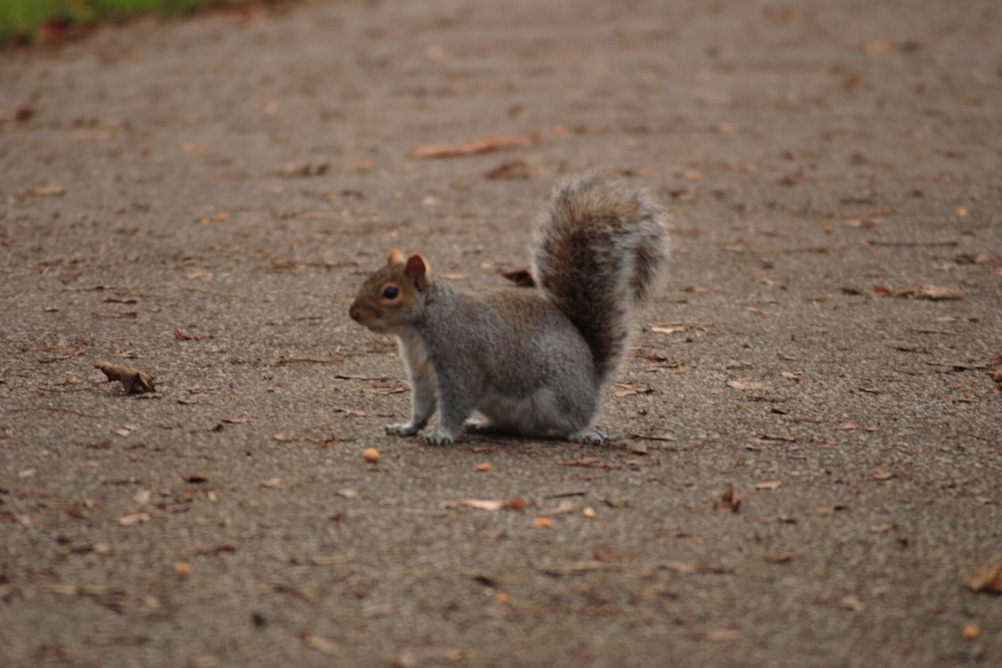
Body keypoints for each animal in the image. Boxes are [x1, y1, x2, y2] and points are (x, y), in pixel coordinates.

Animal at [348, 172, 668, 445]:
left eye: (391, 292)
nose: (354, 313)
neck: (421, 324)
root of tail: (591, 375)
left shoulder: (460, 360)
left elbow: (455, 402)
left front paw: (443, 434)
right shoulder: (421, 372)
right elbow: (422, 405)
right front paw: (407, 427)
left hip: (563, 393)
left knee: (575, 418)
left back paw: (583, 432)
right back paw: (481, 425)